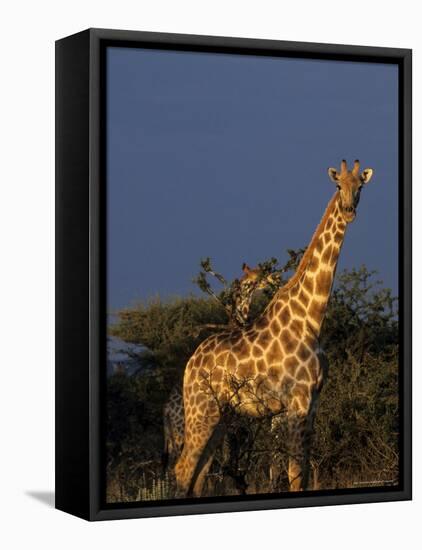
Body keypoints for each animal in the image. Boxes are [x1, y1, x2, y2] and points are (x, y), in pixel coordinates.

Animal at [174, 157, 372, 498]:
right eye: (337, 185)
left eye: (360, 185)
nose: (349, 210)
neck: (312, 319)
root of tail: (190, 364)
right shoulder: (297, 400)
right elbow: (293, 473)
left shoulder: (313, 401)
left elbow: (302, 471)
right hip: (202, 409)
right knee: (184, 469)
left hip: (222, 414)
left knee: (199, 473)